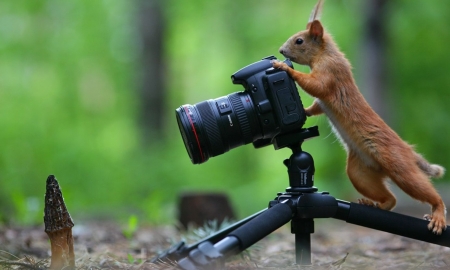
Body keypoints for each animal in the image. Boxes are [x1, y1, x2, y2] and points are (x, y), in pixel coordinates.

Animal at [270, 0, 446, 234]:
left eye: (299, 40)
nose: (281, 51)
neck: (324, 55)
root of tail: (407, 151)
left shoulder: (330, 74)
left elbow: (315, 85)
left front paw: (283, 68)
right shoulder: (322, 100)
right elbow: (316, 106)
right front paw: (304, 111)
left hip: (399, 166)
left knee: (424, 190)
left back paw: (438, 214)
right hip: (359, 173)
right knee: (390, 199)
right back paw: (374, 204)